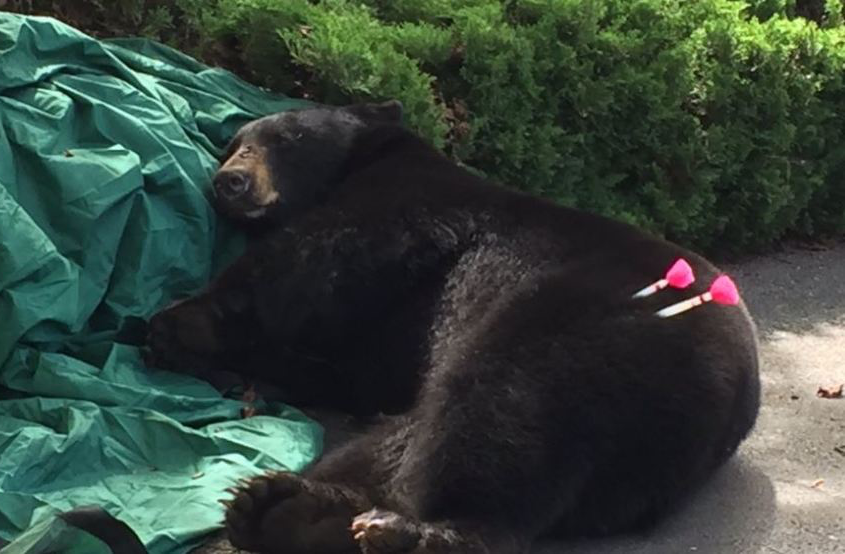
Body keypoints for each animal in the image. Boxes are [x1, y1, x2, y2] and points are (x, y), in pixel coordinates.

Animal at [145, 100, 761, 554]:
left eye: (286, 139)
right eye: (232, 145)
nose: (230, 181)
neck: (365, 159)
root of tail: (734, 403)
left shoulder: (409, 201)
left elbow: (319, 254)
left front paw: (178, 325)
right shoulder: (382, 341)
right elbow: (352, 370)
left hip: (586, 332)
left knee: (495, 409)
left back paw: (414, 533)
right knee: (411, 436)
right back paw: (287, 510)